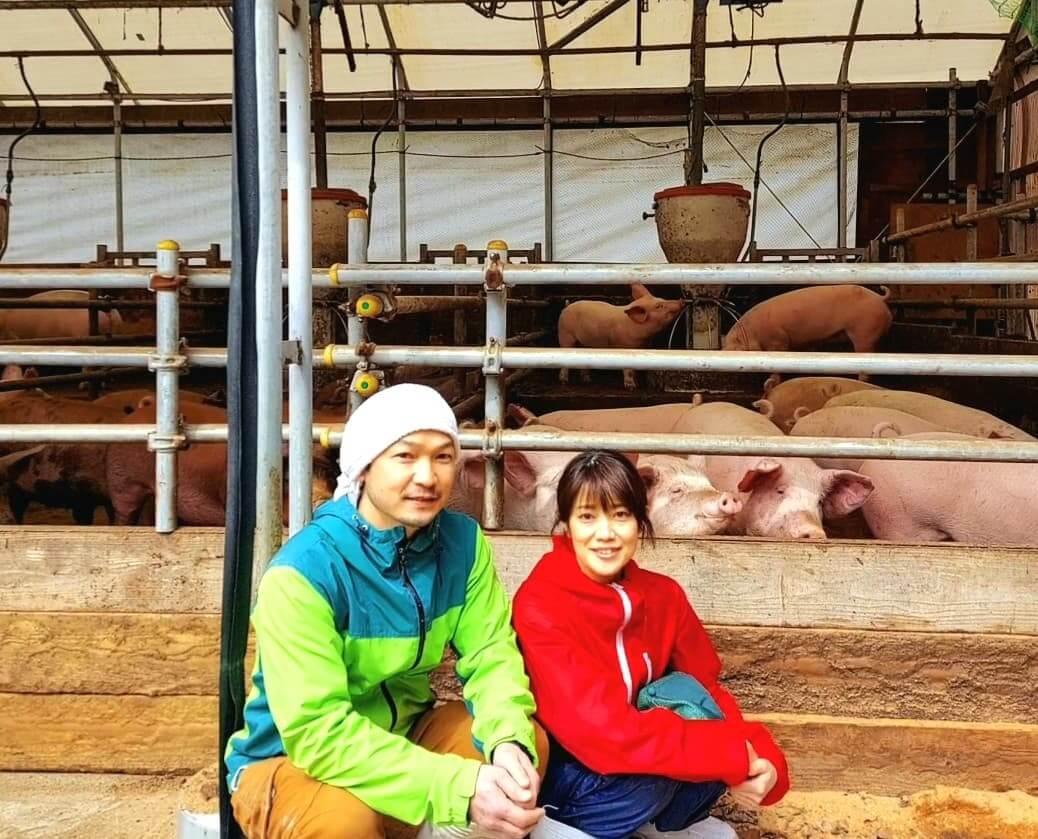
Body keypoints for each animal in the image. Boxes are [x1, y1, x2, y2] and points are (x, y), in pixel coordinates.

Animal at [724, 285, 892, 356]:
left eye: (735, 344)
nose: (723, 350)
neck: (751, 332)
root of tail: (879, 298)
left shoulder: (778, 340)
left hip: (864, 331)